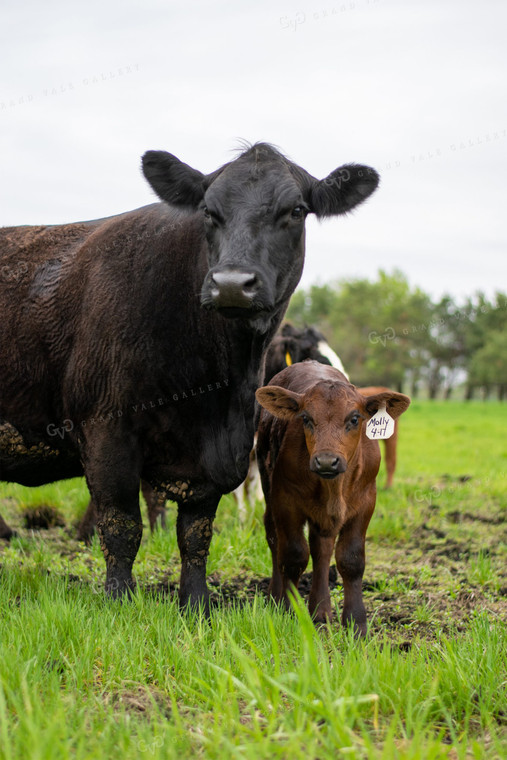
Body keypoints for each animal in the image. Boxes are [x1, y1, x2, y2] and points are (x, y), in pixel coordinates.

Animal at [0, 141, 380, 612]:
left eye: (295, 210)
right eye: (207, 211)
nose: (232, 283)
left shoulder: (219, 455)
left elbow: (197, 533)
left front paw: (196, 603)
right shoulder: (107, 435)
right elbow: (122, 526)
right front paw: (119, 601)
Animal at [256, 360, 410, 632]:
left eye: (355, 418)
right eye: (306, 418)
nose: (327, 461)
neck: (334, 487)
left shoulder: (366, 502)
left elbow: (351, 559)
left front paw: (356, 622)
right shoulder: (285, 500)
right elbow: (294, 555)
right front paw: (290, 611)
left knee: (322, 548)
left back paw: (321, 610)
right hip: (267, 484)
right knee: (275, 538)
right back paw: (276, 596)